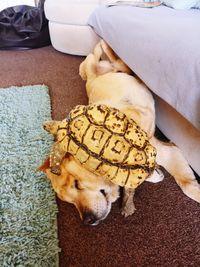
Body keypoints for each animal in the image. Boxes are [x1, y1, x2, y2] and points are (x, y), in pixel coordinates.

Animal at [39, 40, 199, 226]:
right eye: (69, 202)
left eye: (77, 184)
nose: (87, 220)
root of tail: (94, 75)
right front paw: (152, 175)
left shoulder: (160, 145)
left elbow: (186, 185)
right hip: (97, 69)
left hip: (100, 65)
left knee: (104, 56)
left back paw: (104, 44)